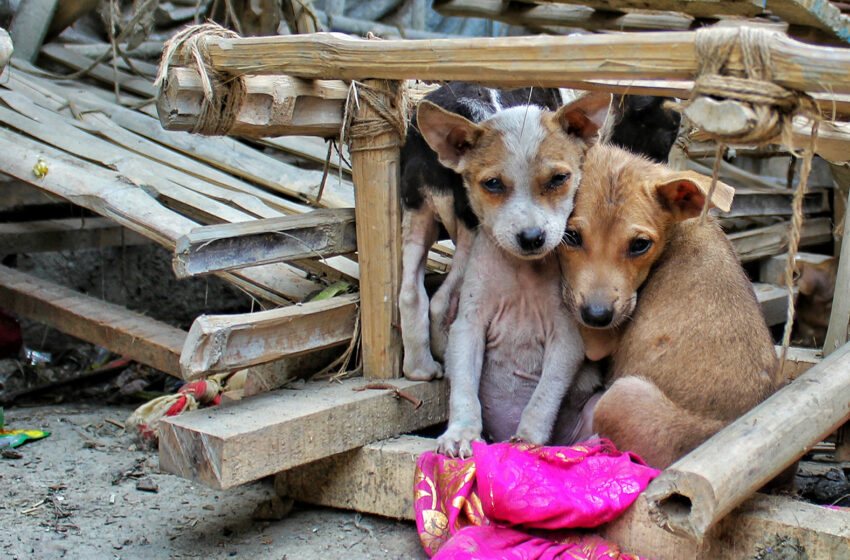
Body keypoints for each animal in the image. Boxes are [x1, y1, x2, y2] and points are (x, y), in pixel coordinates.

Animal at [556, 144, 780, 468]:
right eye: (571, 236)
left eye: (640, 245)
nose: (597, 317)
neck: (681, 228)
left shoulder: (600, 338)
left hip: (621, 396)